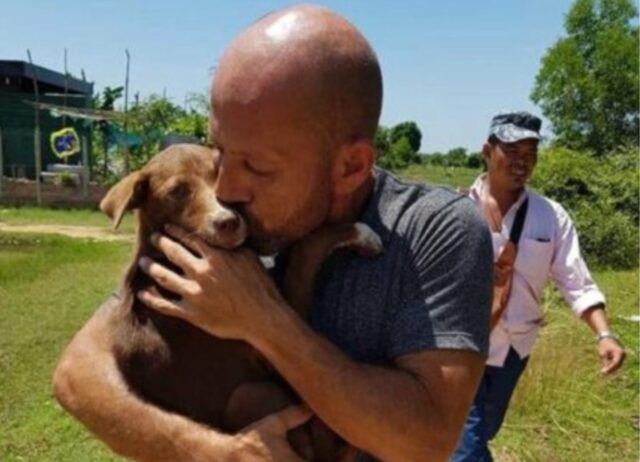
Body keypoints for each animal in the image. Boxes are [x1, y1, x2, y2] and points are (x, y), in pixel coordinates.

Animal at [97, 143, 382, 458]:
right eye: (177, 191)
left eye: (220, 175)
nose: (229, 222)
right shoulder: (273, 347)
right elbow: (307, 249)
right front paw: (361, 233)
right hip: (251, 395)